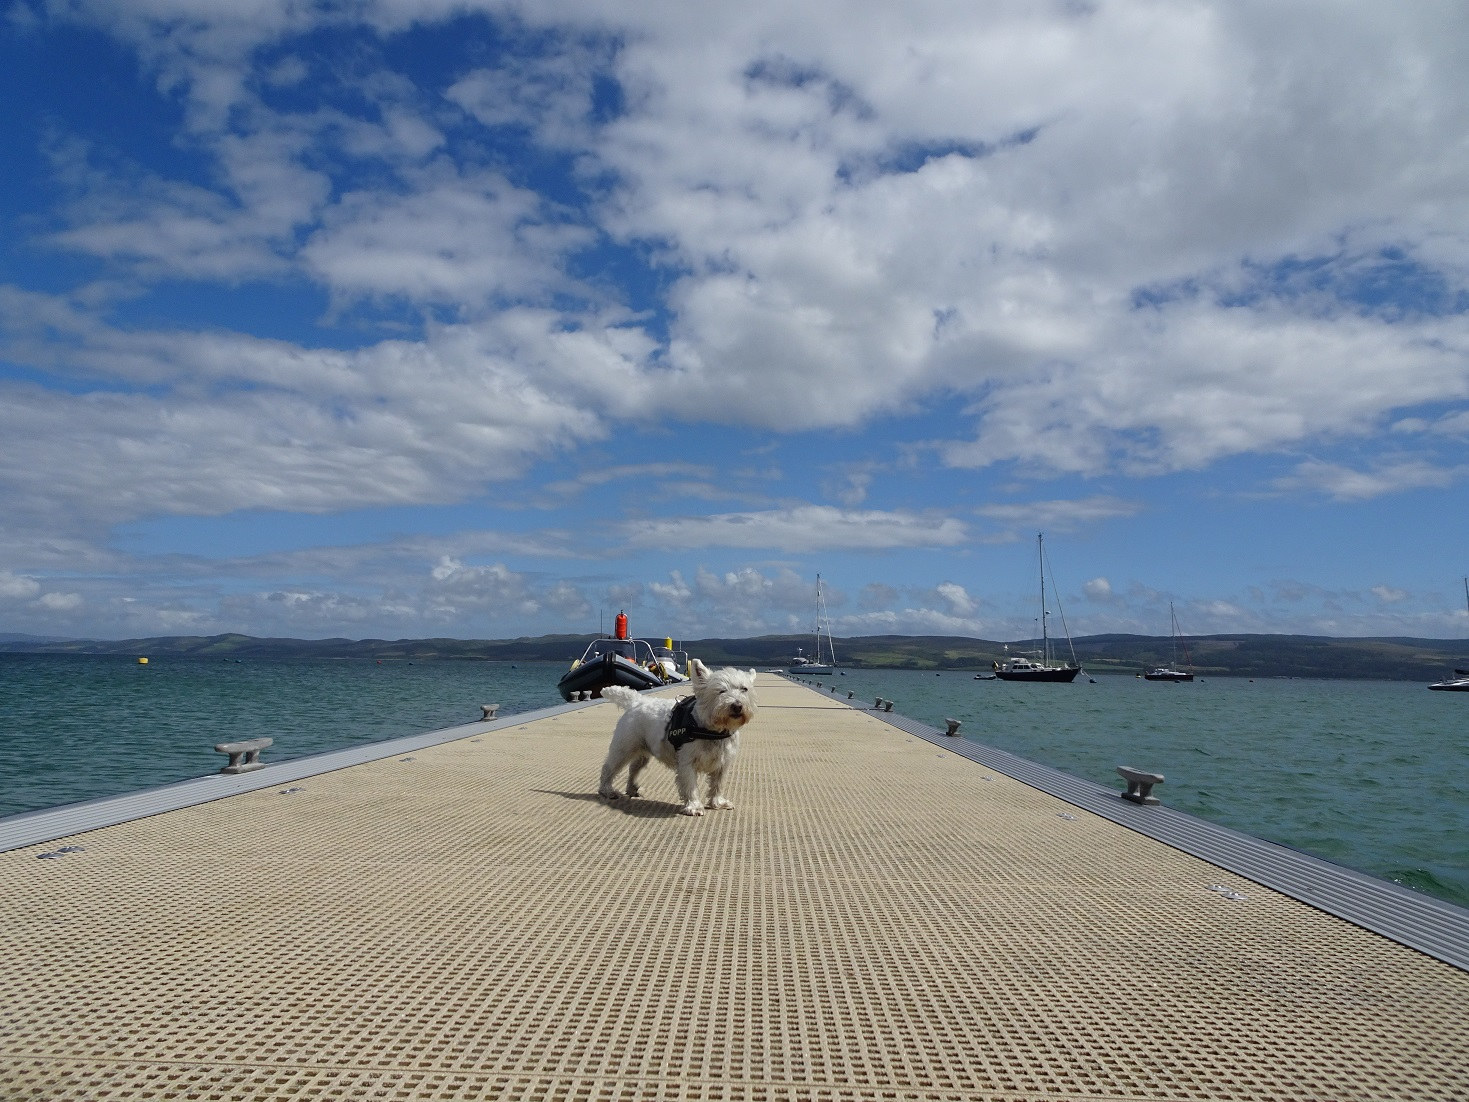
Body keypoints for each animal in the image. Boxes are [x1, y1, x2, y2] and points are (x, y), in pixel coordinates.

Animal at [596, 661, 758, 816]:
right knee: (609, 768)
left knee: (633, 769)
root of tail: (636, 701)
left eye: (744, 689)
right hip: (623, 749)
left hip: (643, 753)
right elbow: (691, 785)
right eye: (721, 690)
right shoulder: (687, 762)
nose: (737, 706)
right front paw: (694, 807)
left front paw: (718, 803)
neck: (711, 730)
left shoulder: (722, 764)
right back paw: (608, 791)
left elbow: (717, 785)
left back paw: (632, 789)